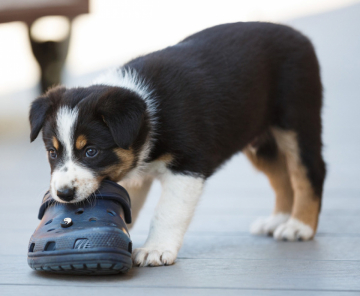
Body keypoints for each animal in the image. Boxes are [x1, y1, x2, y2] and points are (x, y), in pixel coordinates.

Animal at [28, 22, 326, 268]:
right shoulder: (135, 175)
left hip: (297, 122)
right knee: (281, 176)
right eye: (52, 153)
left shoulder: (188, 166)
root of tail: (299, 35)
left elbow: (167, 212)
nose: (63, 194)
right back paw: (279, 218)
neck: (148, 116)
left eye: (91, 151)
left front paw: (156, 250)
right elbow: (126, 206)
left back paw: (299, 226)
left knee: (309, 172)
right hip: (260, 141)